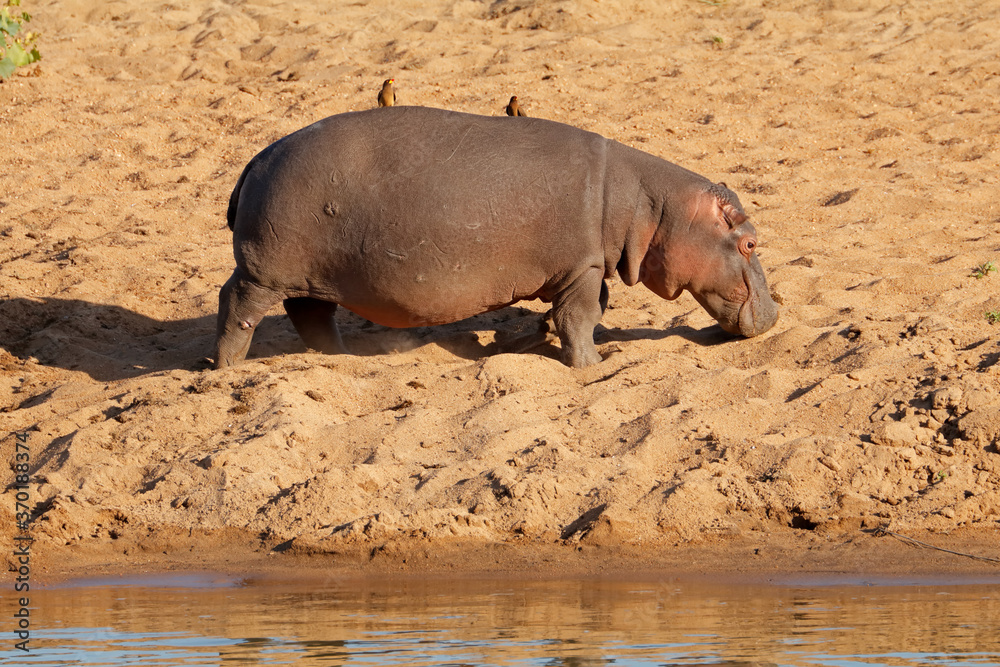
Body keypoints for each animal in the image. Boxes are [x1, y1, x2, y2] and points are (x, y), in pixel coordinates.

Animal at [215, 105, 776, 370]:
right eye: (749, 242)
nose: (776, 313)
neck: (652, 207)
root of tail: (256, 159)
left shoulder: (587, 266)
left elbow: (585, 310)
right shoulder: (583, 267)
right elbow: (581, 316)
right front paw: (592, 364)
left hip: (307, 276)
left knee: (311, 315)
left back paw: (340, 358)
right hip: (264, 270)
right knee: (236, 304)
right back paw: (223, 368)